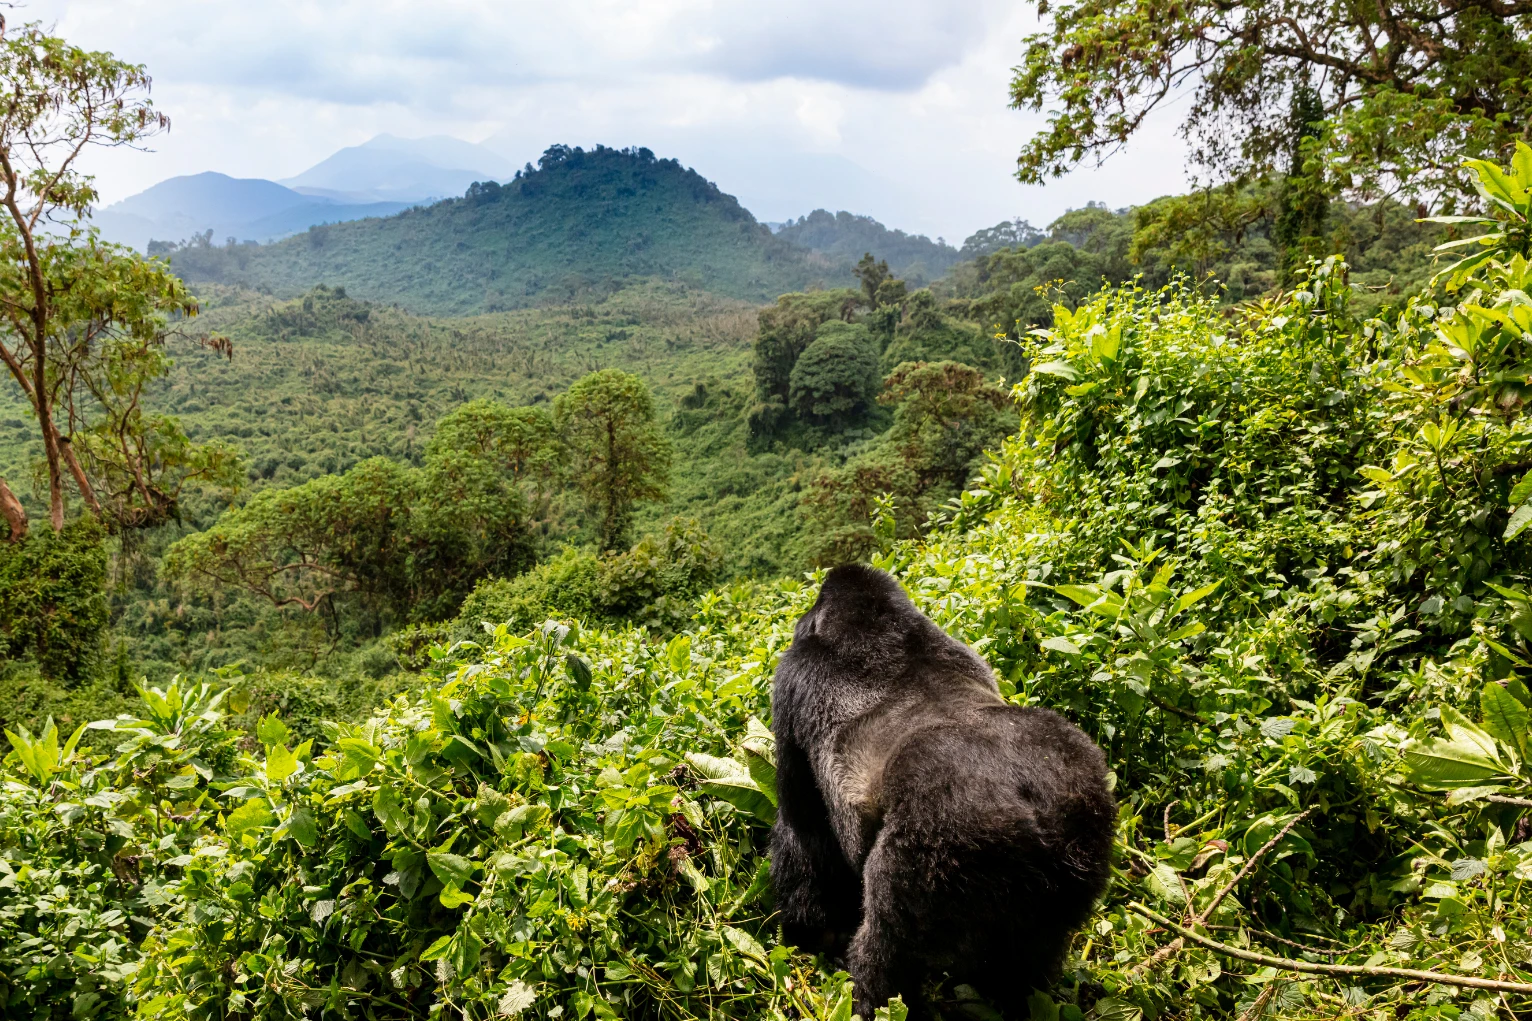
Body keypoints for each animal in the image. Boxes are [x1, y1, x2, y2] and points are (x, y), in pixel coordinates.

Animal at [769, 564, 1115, 1018]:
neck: (878, 625)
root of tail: (1035, 814)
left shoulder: (791, 679)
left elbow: (802, 828)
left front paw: (812, 931)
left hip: (937, 844)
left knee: (887, 958)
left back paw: (873, 998)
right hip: (1084, 831)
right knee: (1027, 961)